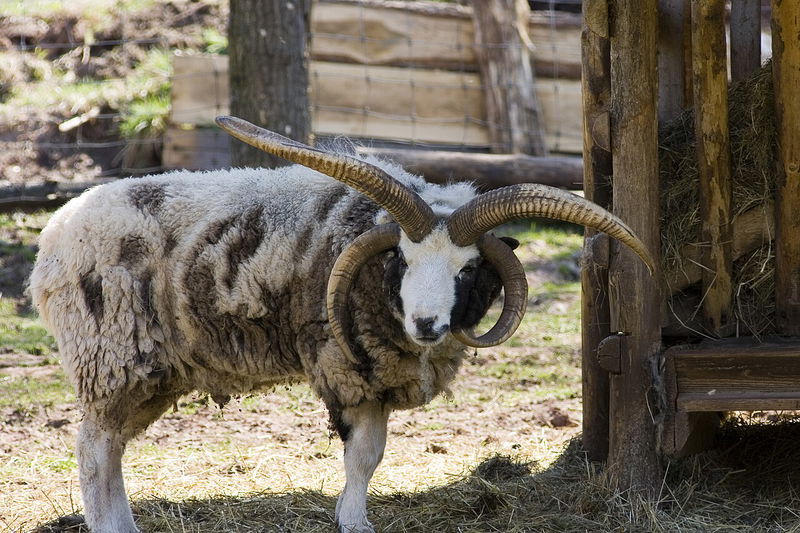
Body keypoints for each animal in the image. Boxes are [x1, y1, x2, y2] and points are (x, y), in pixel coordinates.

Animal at [31, 116, 656, 532]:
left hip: (149, 370)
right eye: (401, 258)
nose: (428, 324)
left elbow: (373, 456)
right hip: (110, 357)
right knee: (92, 448)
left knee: (111, 447)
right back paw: (109, 525)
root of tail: (51, 239)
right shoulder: (348, 369)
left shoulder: (377, 377)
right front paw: (354, 522)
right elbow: (361, 456)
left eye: (468, 268)